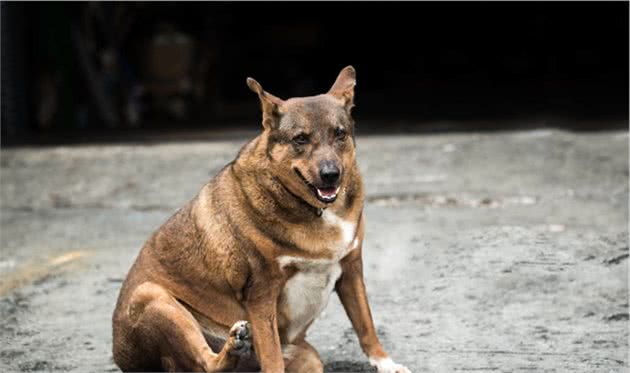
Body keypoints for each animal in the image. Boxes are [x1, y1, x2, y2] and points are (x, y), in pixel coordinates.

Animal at [111, 67, 412, 372]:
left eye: (340, 134)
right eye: (300, 139)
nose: (331, 175)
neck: (314, 208)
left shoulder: (351, 269)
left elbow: (365, 324)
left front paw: (385, 362)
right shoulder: (261, 293)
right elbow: (272, 354)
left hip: (308, 358)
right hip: (151, 296)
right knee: (206, 363)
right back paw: (232, 346)